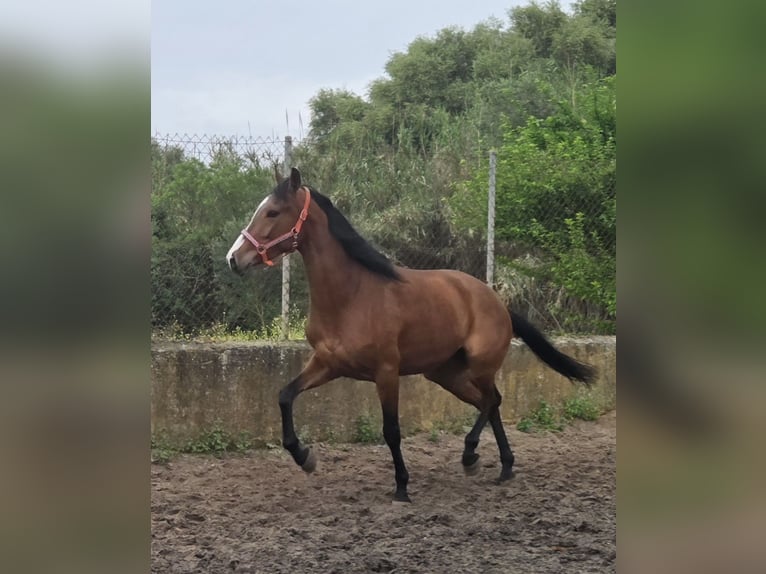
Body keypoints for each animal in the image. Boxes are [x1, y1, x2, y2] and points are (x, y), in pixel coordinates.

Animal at [226, 167, 596, 503]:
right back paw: (502, 466)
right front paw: (304, 457)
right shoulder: (327, 364)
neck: (352, 296)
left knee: (492, 401)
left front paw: (402, 487)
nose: (234, 258)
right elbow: (285, 396)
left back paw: (472, 456)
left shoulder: (387, 372)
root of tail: (496, 300)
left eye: (273, 212)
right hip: (446, 374)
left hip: (480, 367)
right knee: (490, 404)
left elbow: (391, 431)